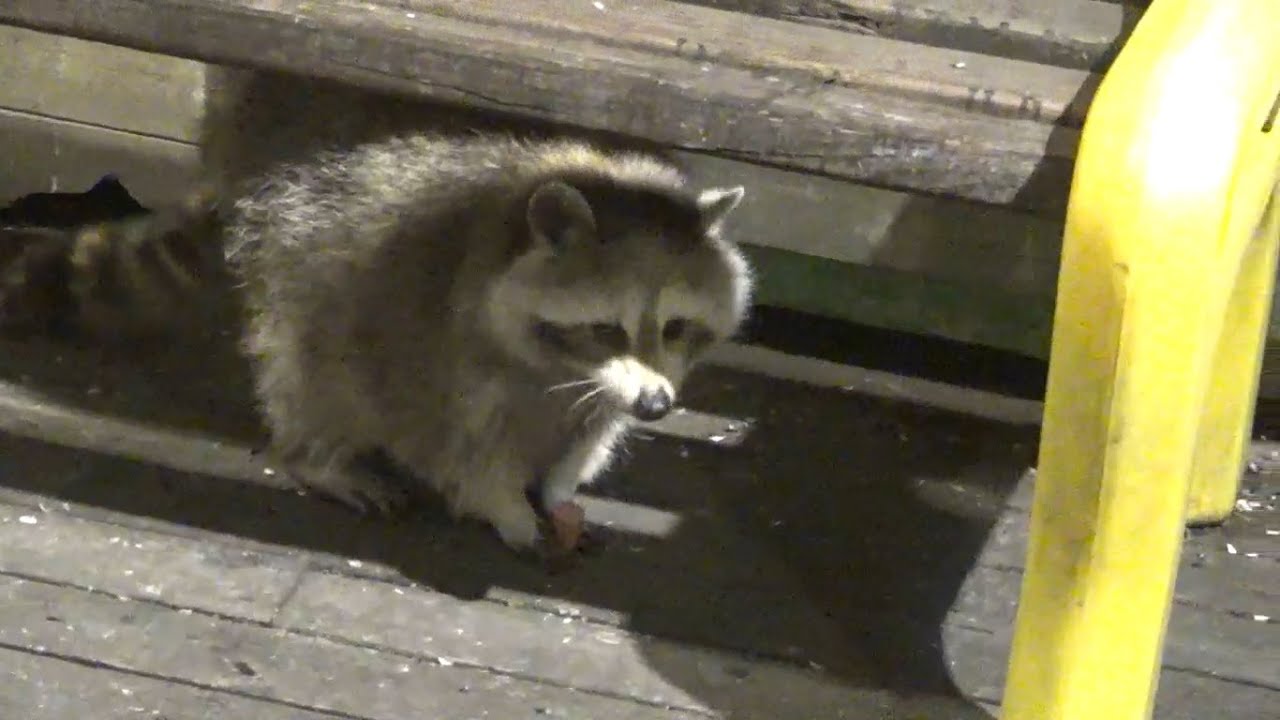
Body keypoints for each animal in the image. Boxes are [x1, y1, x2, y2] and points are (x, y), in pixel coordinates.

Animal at [0, 68, 754, 554]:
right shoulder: (421, 293)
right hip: (297, 202)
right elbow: (436, 425)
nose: (656, 406)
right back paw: (314, 451)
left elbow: (591, 422)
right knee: (310, 344)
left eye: (677, 327)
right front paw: (499, 500)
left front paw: (559, 483)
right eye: (604, 327)